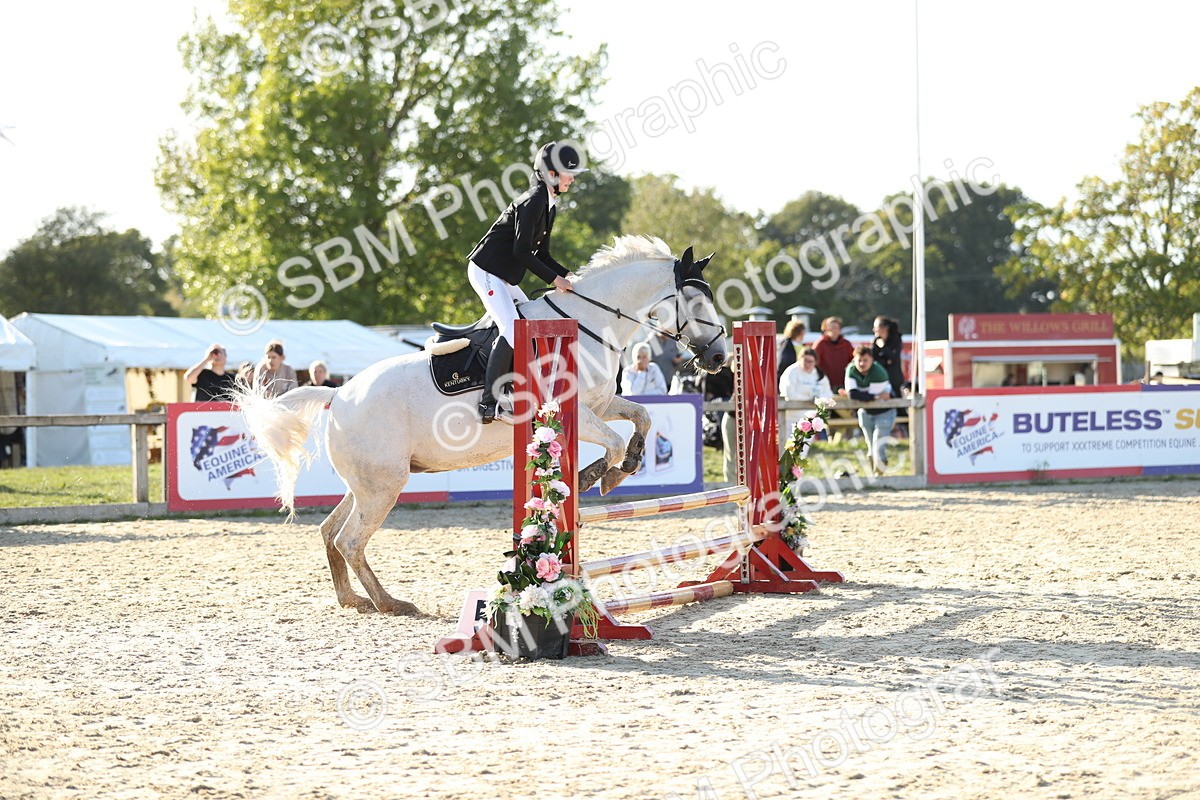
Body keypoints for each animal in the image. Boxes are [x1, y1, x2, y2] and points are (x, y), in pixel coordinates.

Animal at [235, 235, 728, 615]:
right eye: (695, 300)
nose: (720, 358)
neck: (590, 323)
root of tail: (338, 396)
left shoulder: (601, 404)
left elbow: (641, 417)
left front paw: (623, 467)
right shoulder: (575, 412)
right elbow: (611, 443)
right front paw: (596, 476)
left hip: (368, 483)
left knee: (330, 532)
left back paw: (352, 600)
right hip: (383, 486)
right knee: (351, 540)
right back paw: (390, 603)